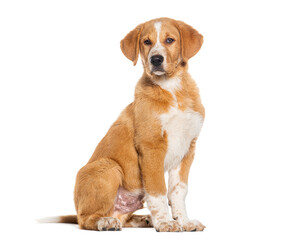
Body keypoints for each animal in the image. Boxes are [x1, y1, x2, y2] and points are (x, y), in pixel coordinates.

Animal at [42, 17, 204, 232]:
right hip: (109, 167)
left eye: (170, 40)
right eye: (146, 42)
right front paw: (165, 223)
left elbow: (178, 191)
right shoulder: (151, 147)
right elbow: (158, 191)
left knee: (123, 218)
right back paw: (106, 222)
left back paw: (144, 219)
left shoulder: (187, 148)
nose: (156, 59)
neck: (172, 89)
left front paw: (184, 222)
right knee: (85, 219)